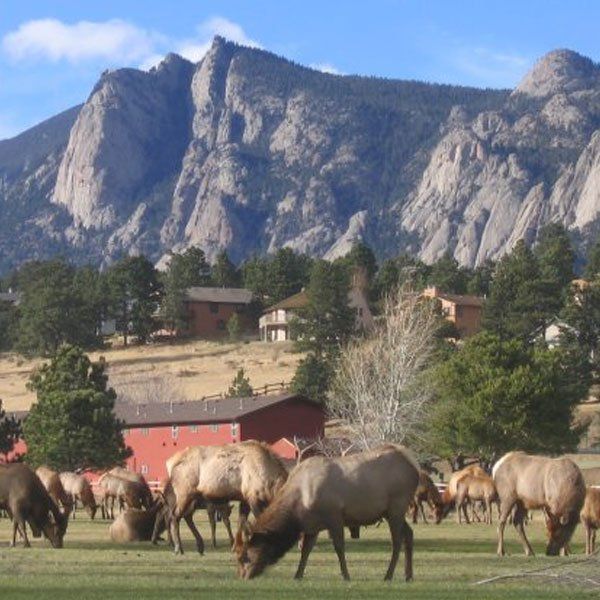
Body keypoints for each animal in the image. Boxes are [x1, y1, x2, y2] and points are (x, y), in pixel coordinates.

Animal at [232, 442, 420, 580]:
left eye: (244, 556)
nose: (243, 577)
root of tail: (414, 467)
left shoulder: (334, 516)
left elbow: (339, 547)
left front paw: (346, 575)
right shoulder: (312, 525)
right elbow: (305, 550)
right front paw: (297, 575)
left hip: (397, 506)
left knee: (397, 541)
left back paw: (388, 575)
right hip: (390, 512)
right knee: (409, 533)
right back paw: (408, 575)